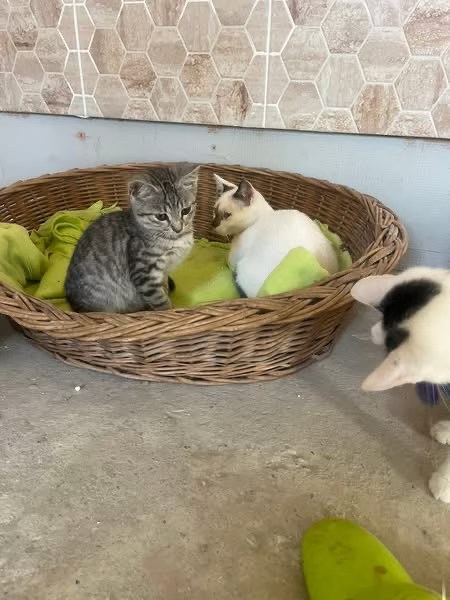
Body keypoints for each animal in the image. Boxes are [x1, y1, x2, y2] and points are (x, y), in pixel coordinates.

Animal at [65, 164, 199, 313]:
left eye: (185, 210)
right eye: (161, 216)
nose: (178, 228)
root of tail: (73, 304)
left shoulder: (163, 272)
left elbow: (164, 288)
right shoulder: (144, 273)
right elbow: (160, 300)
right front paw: (169, 311)